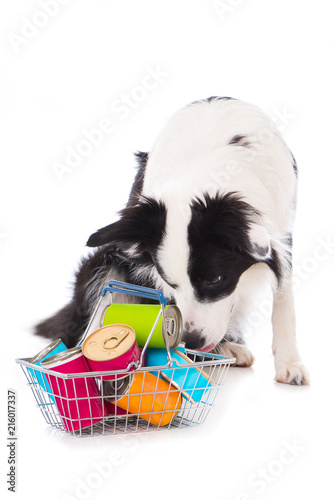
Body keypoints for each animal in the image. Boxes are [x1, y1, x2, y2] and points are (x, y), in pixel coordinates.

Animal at [35, 97, 310, 386]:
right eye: (170, 282)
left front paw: (290, 363)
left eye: (215, 279)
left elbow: (284, 299)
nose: (192, 340)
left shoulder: (282, 230)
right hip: (103, 262)